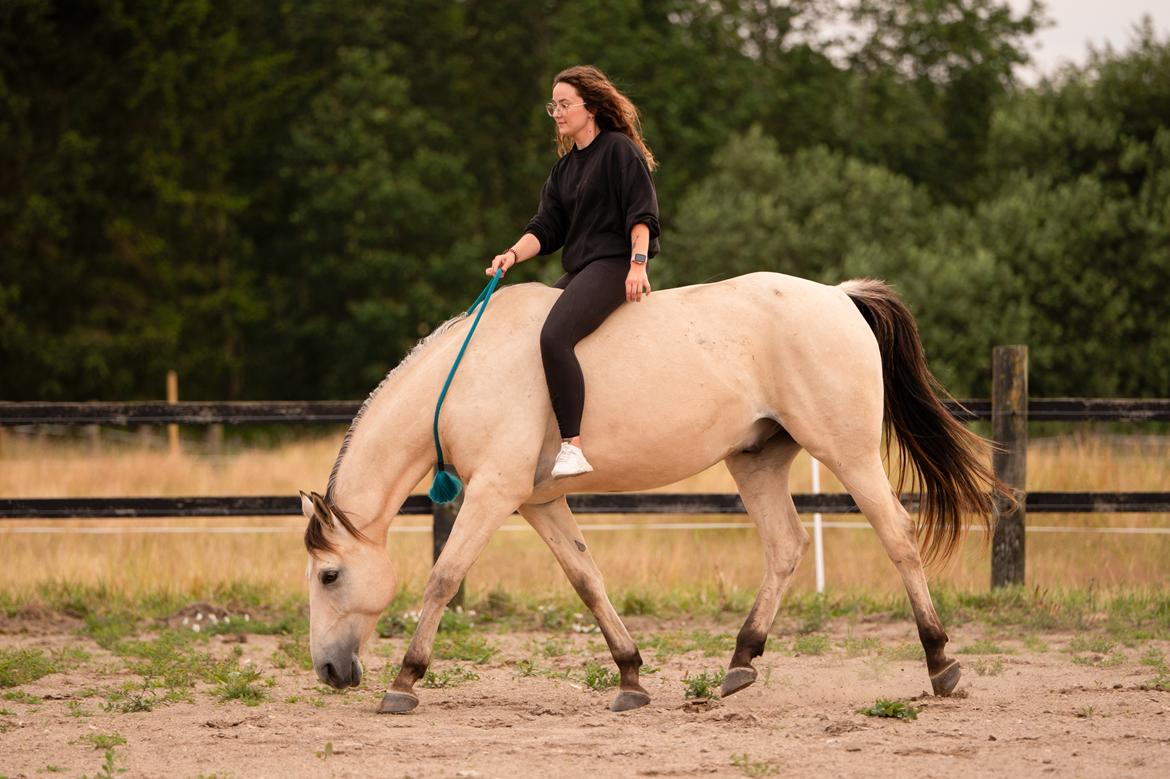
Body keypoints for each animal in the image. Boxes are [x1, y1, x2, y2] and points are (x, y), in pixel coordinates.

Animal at [297, 271, 1001, 711]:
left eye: (329, 576)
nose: (329, 671)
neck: (468, 371)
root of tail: (838, 295)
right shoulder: (537, 501)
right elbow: (587, 580)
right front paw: (631, 674)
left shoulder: (493, 495)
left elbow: (443, 578)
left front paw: (405, 680)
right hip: (756, 461)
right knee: (785, 546)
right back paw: (740, 662)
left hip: (847, 453)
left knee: (897, 535)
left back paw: (941, 663)